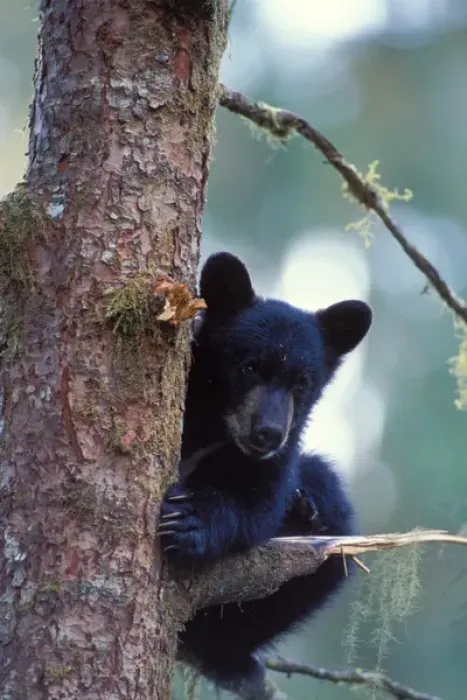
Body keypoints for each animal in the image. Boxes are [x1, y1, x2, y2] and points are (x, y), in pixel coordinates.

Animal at [158, 251, 372, 696]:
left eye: (303, 382)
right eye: (249, 367)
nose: (268, 432)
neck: (216, 426)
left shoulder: (277, 459)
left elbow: (259, 505)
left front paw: (191, 521)